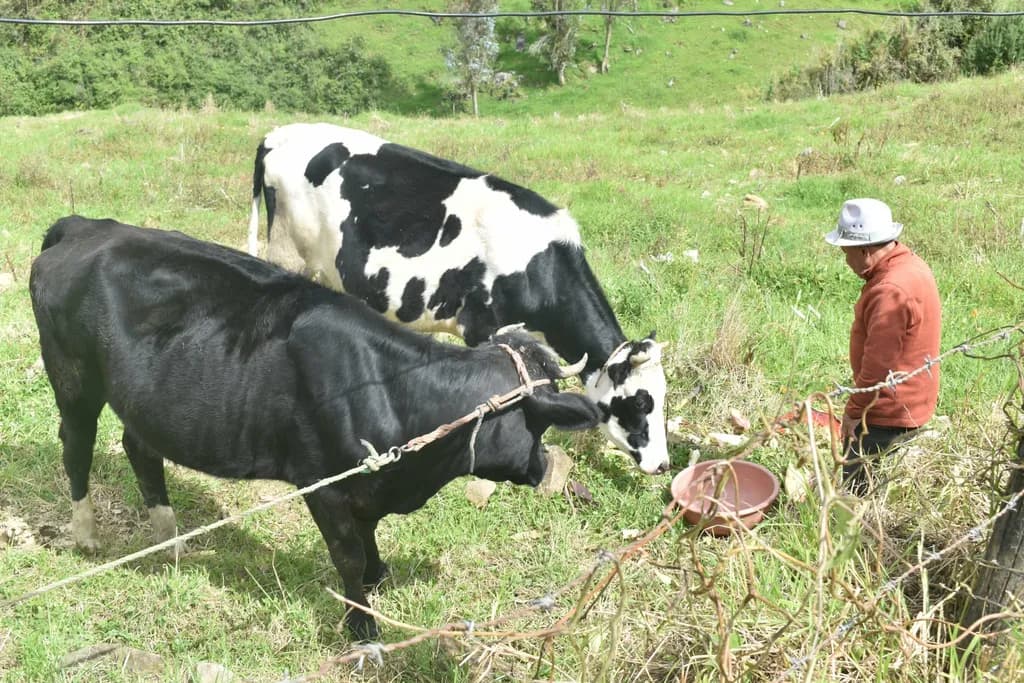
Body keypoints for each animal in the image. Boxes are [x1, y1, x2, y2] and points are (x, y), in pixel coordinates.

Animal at [30, 215, 601, 640]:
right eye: (540, 425)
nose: (544, 467)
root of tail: (86, 226)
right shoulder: (320, 483)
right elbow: (346, 554)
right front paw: (362, 625)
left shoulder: (366, 483)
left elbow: (368, 537)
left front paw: (378, 578)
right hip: (73, 378)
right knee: (76, 446)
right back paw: (86, 535)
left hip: (144, 399)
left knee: (140, 448)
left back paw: (169, 543)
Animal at [247, 123, 670, 475]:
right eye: (638, 403)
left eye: (663, 396)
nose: (663, 465)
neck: (541, 264)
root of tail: (277, 134)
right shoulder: (485, 327)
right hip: (285, 249)